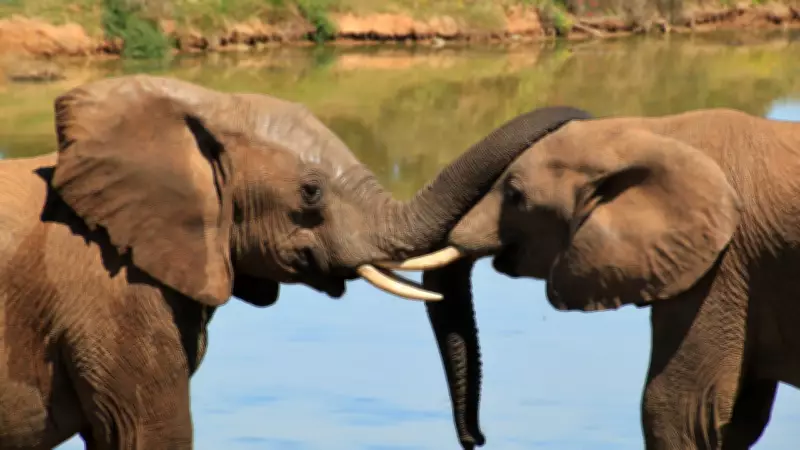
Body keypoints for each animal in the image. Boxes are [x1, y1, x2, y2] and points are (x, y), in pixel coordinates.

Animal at [380, 107, 800, 449]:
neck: (656, 132)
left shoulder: (721, 269)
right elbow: (734, 421)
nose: (477, 439)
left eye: (515, 195)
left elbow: (678, 412)